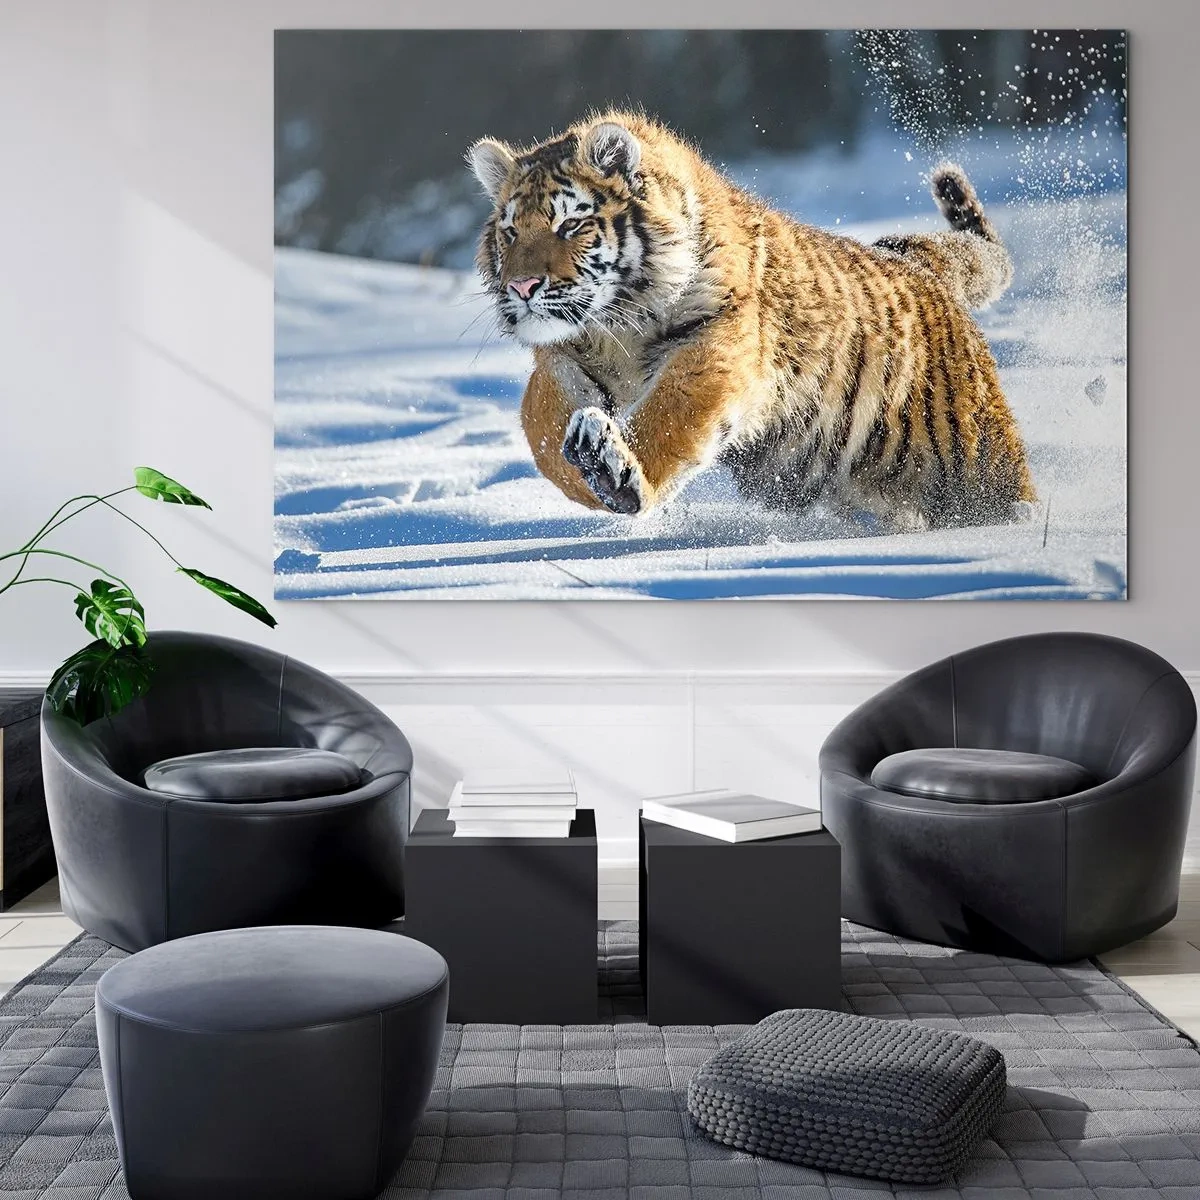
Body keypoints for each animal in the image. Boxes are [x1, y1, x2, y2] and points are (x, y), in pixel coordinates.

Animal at [467, 110, 1035, 531]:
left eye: (571, 224)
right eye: (511, 232)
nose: (521, 287)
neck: (617, 325)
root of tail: (917, 262)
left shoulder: (716, 345)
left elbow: (669, 416)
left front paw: (616, 474)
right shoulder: (563, 356)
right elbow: (541, 426)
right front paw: (583, 465)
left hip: (975, 460)